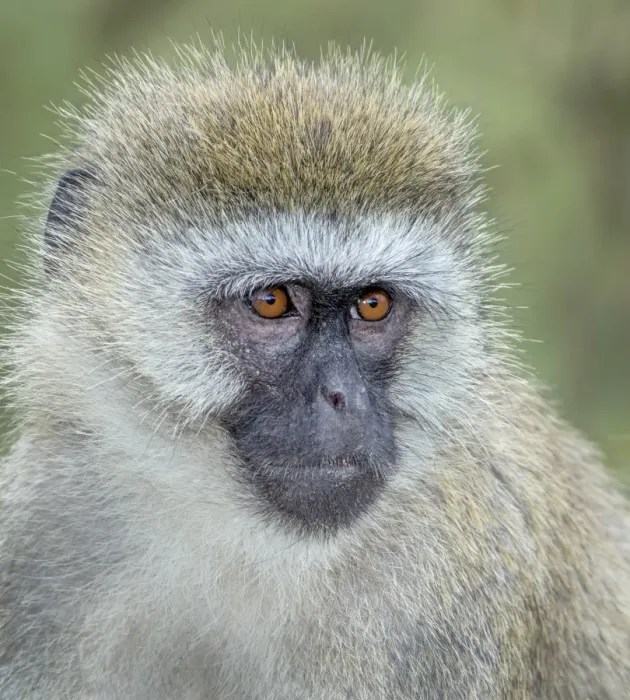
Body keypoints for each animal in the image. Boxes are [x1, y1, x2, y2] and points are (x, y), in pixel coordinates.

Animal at [0, 40, 628, 700]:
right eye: (272, 300)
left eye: (372, 304)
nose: (342, 396)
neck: (241, 546)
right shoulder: (44, 524)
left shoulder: (445, 598)